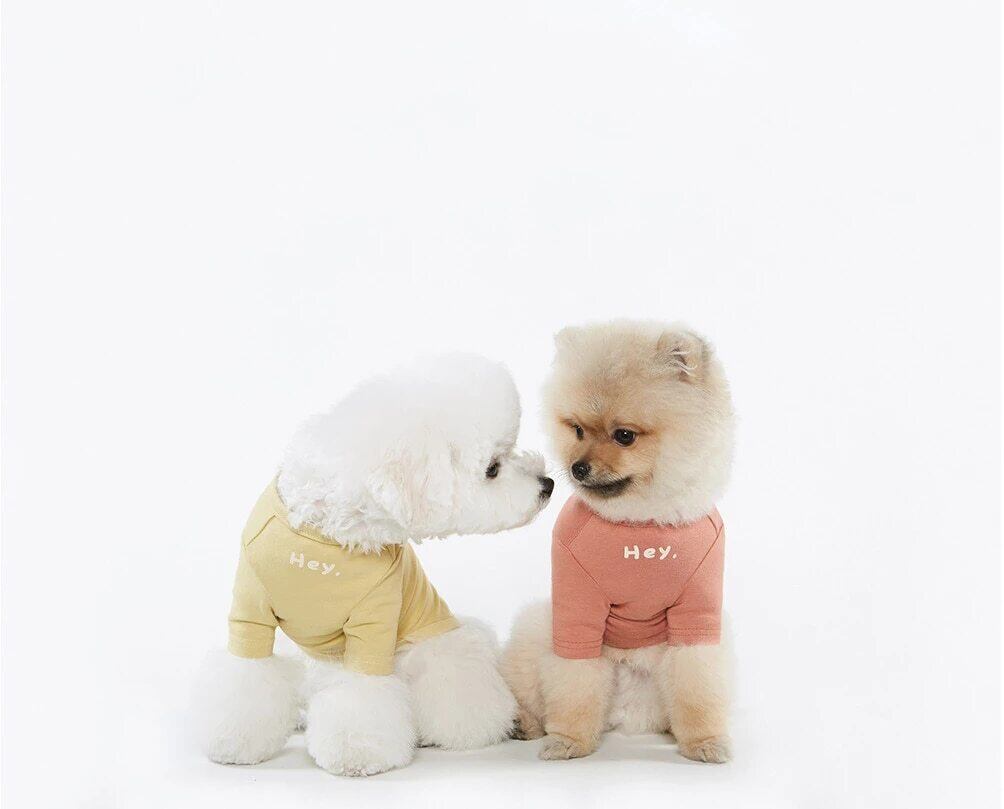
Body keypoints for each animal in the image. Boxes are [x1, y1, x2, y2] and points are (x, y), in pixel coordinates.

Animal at [193, 353, 554, 776]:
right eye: (493, 468)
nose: (548, 484)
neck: (326, 532)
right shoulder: (251, 613)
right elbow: (245, 678)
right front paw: (234, 741)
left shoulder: (375, 622)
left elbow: (363, 697)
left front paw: (356, 752)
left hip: (433, 645)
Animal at [500, 320, 735, 763]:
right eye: (577, 430)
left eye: (624, 435)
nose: (577, 467)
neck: (638, 523)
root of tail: (626, 716)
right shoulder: (576, 604)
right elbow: (574, 678)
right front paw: (570, 740)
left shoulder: (697, 611)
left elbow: (697, 683)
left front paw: (704, 741)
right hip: (539, 626)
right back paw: (526, 723)